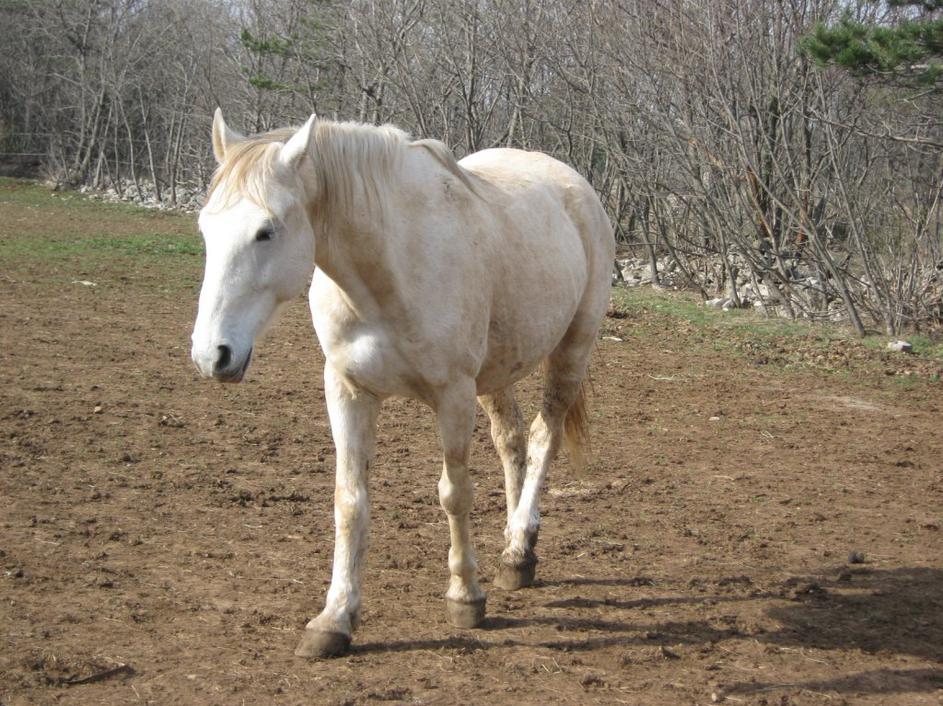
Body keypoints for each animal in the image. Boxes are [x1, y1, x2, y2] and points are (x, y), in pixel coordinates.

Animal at [190, 109, 615, 658]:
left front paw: (465, 598)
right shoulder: (348, 390)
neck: (386, 272)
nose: (212, 354)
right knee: (512, 441)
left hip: (570, 350)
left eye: (266, 231)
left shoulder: (453, 396)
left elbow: (454, 494)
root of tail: (573, 184)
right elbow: (349, 502)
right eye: (205, 227)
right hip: (496, 371)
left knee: (544, 438)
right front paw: (334, 619)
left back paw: (520, 546)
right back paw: (513, 550)